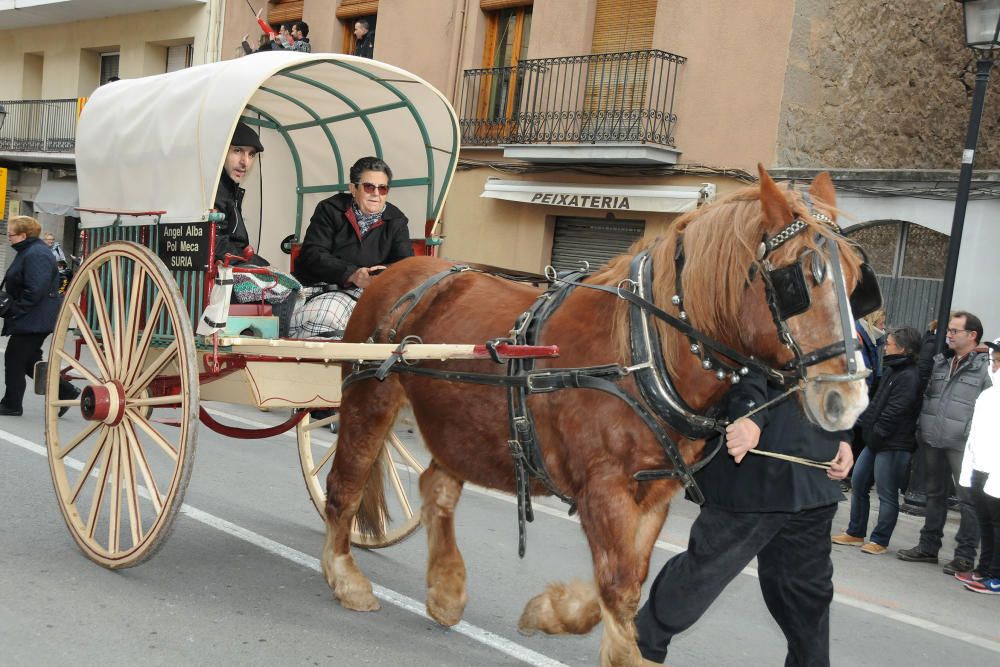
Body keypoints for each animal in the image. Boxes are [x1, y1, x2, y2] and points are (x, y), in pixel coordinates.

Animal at [318, 166, 868, 664]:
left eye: (854, 279)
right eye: (801, 277)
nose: (850, 401)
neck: (641, 349)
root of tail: (397, 272)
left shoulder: (654, 492)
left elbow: (627, 584)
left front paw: (548, 612)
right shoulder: (603, 490)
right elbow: (618, 586)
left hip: (457, 425)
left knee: (437, 488)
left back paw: (446, 591)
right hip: (370, 399)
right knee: (345, 485)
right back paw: (345, 577)